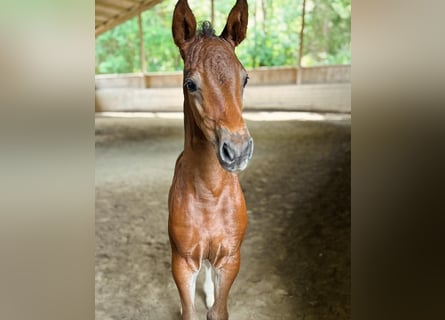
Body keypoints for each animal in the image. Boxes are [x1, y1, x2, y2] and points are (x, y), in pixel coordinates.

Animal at [167, 1, 251, 318]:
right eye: (190, 84)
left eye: (245, 78)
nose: (238, 151)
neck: (209, 194)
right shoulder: (182, 262)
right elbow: (189, 312)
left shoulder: (230, 258)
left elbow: (218, 311)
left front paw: (213, 298)